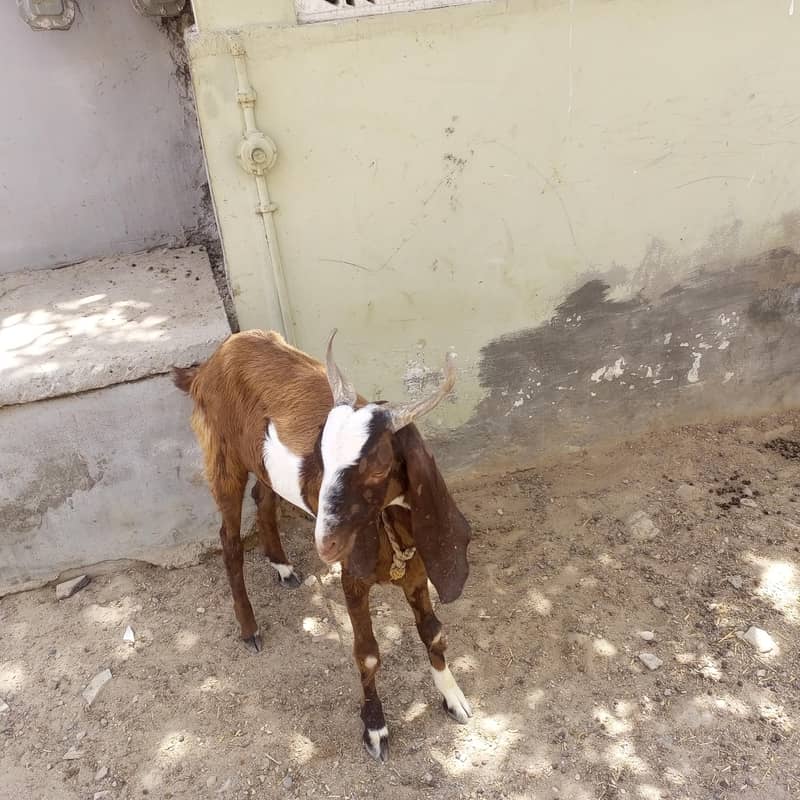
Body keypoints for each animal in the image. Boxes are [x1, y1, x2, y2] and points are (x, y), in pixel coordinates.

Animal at [172, 329, 472, 762]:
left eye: (379, 467)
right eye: (322, 457)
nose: (326, 544)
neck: (390, 531)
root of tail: (213, 361)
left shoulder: (417, 567)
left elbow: (433, 632)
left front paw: (452, 696)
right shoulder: (353, 578)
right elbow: (367, 652)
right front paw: (375, 729)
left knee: (264, 500)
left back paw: (282, 566)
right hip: (223, 457)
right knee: (229, 539)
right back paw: (249, 627)